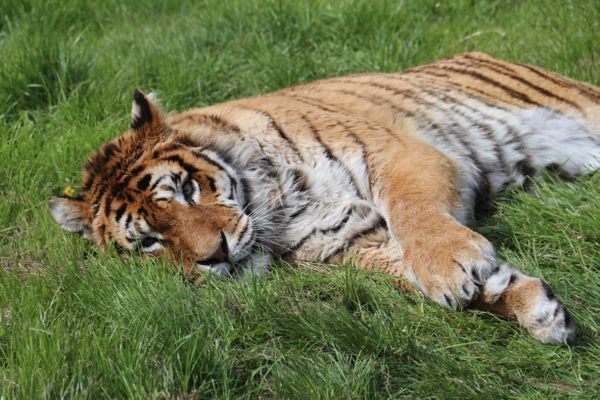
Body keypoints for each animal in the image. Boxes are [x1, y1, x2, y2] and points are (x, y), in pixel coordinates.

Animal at [48, 50, 600, 344]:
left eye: (185, 189)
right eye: (149, 243)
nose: (217, 256)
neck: (277, 209)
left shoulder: (398, 154)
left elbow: (414, 215)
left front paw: (450, 266)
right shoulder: (349, 242)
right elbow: (418, 274)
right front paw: (538, 310)